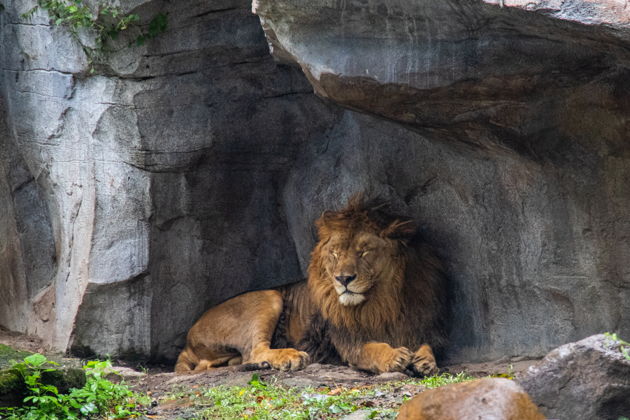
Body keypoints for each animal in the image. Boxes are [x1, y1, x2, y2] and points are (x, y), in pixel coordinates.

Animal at [175, 198, 446, 378]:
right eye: (335, 253)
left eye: (364, 251)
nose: (343, 279)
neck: (383, 299)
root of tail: (188, 338)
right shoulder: (348, 341)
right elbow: (372, 349)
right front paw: (394, 357)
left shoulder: (417, 326)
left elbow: (427, 346)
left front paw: (424, 361)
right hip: (270, 297)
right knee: (254, 350)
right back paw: (290, 357)